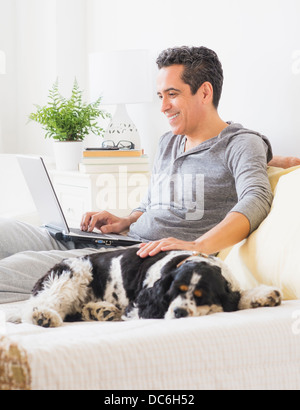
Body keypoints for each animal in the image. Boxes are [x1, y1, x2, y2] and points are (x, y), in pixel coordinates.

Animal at [19, 245, 282, 328]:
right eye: (174, 292)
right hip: (72, 274)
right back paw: (44, 316)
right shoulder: (138, 307)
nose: (179, 312)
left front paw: (264, 296)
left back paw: (100, 311)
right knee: (39, 306)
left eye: (202, 296)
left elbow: (238, 297)